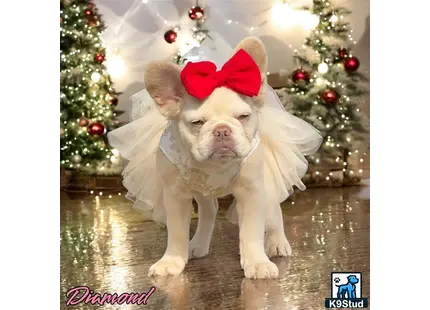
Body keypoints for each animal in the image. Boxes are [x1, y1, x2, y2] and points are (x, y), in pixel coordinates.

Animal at [108, 37, 322, 278]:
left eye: (244, 116)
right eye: (197, 123)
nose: (222, 131)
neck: (214, 165)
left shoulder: (252, 192)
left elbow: (251, 231)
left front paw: (257, 262)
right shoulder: (175, 195)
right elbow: (176, 232)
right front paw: (172, 260)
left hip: (266, 184)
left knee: (274, 210)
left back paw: (277, 242)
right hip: (201, 191)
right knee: (209, 210)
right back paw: (198, 244)